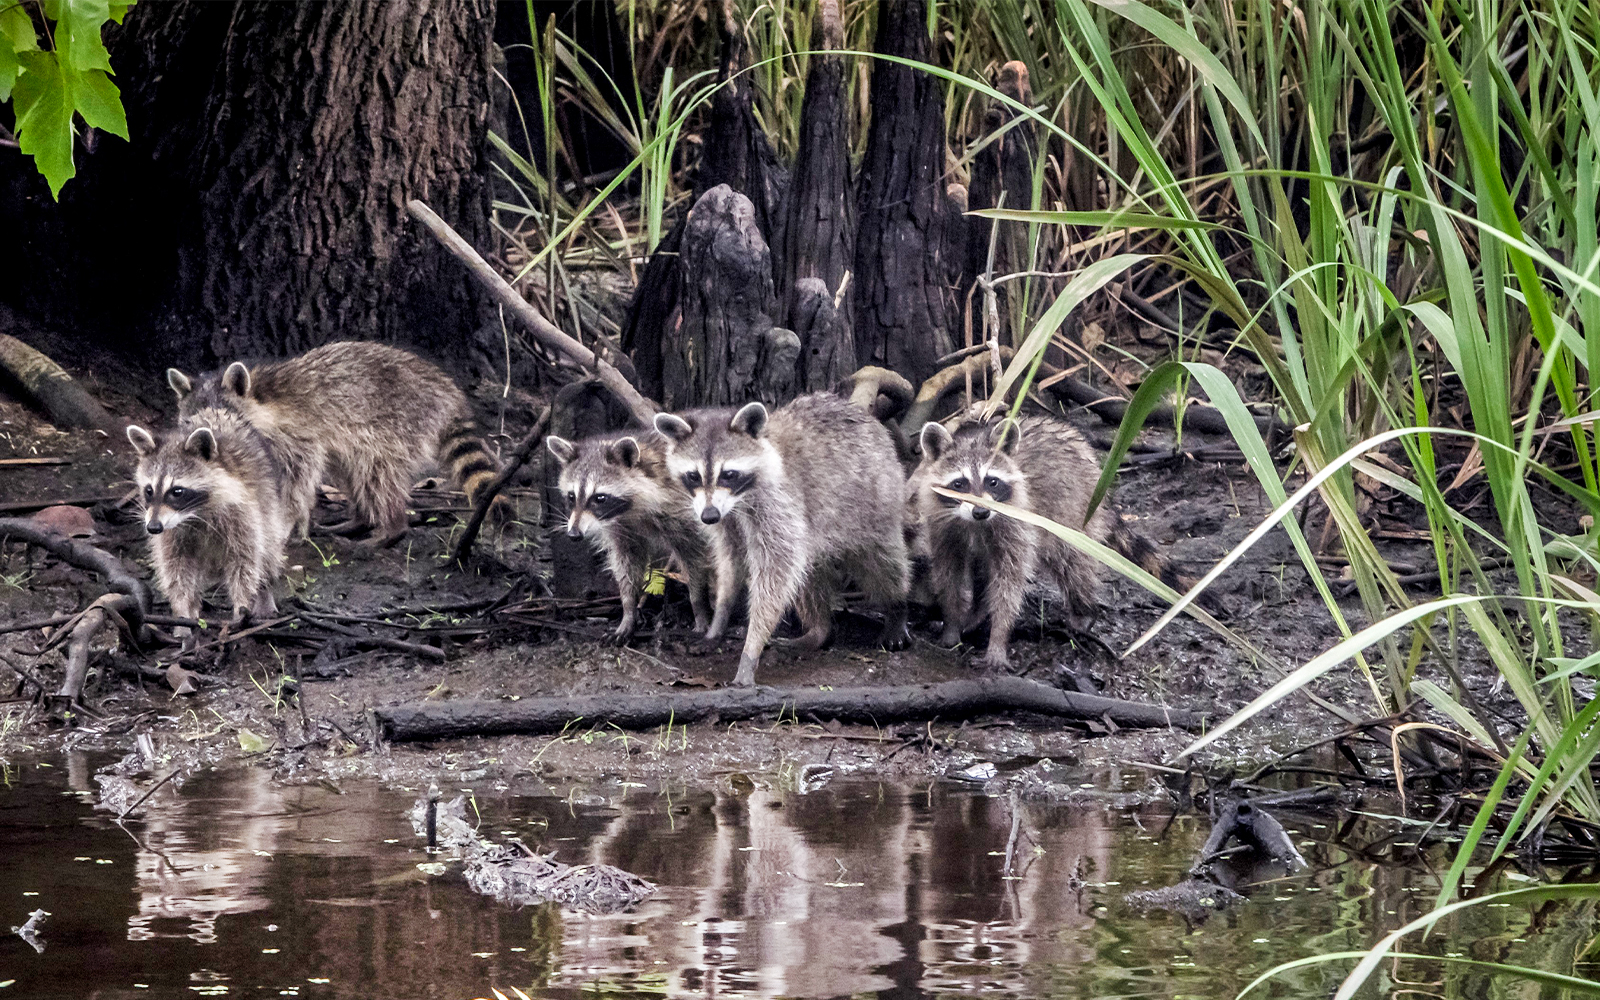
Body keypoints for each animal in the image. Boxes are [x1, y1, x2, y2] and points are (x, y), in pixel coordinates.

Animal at [126, 407, 295, 635]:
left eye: (177, 491)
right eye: (149, 490)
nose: (153, 528)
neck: (194, 514)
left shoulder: (243, 514)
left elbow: (245, 562)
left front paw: (242, 606)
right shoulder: (171, 531)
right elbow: (175, 568)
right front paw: (181, 612)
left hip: (269, 503)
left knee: (269, 550)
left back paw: (264, 592)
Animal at [168, 341, 505, 545]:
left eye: (225, 418)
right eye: (189, 421)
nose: (205, 443)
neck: (260, 397)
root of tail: (448, 393)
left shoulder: (298, 438)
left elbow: (297, 483)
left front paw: (286, 521)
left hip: (397, 423)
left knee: (376, 473)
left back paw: (391, 527)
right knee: (350, 472)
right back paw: (360, 519)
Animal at [545, 430, 715, 643]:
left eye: (600, 498)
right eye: (571, 496)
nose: (574, 534)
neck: (630, 511)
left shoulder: (685, 515)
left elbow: (694, 558)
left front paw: (699, 604)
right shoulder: (621, 530)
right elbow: (626, 563)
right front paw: (628, 609)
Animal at [654, 392, 911, 687]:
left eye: (728, 474)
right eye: (693, 475)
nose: (709, 516)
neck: (738, 500)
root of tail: (867, 417)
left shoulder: (778, 502)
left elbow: (775, 572)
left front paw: (751, 648)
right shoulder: (726, 520)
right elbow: (731, 560)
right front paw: (720, 616)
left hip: (877, 500)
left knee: (882, 563)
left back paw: (896, 608)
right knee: (808, 573)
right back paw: (820, 629)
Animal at [911, 413, 1170, 668]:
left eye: (992, 481)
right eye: (959, 484)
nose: (981, 511)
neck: (974, 524)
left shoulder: (1016, 523)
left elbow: (1010, 582)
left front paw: (998, 637)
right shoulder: (943, 528)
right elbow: (949, 573)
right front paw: (952, 622)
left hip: (1073, 511)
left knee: (1072, 562)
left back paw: (1083, 610)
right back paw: (976, 613)